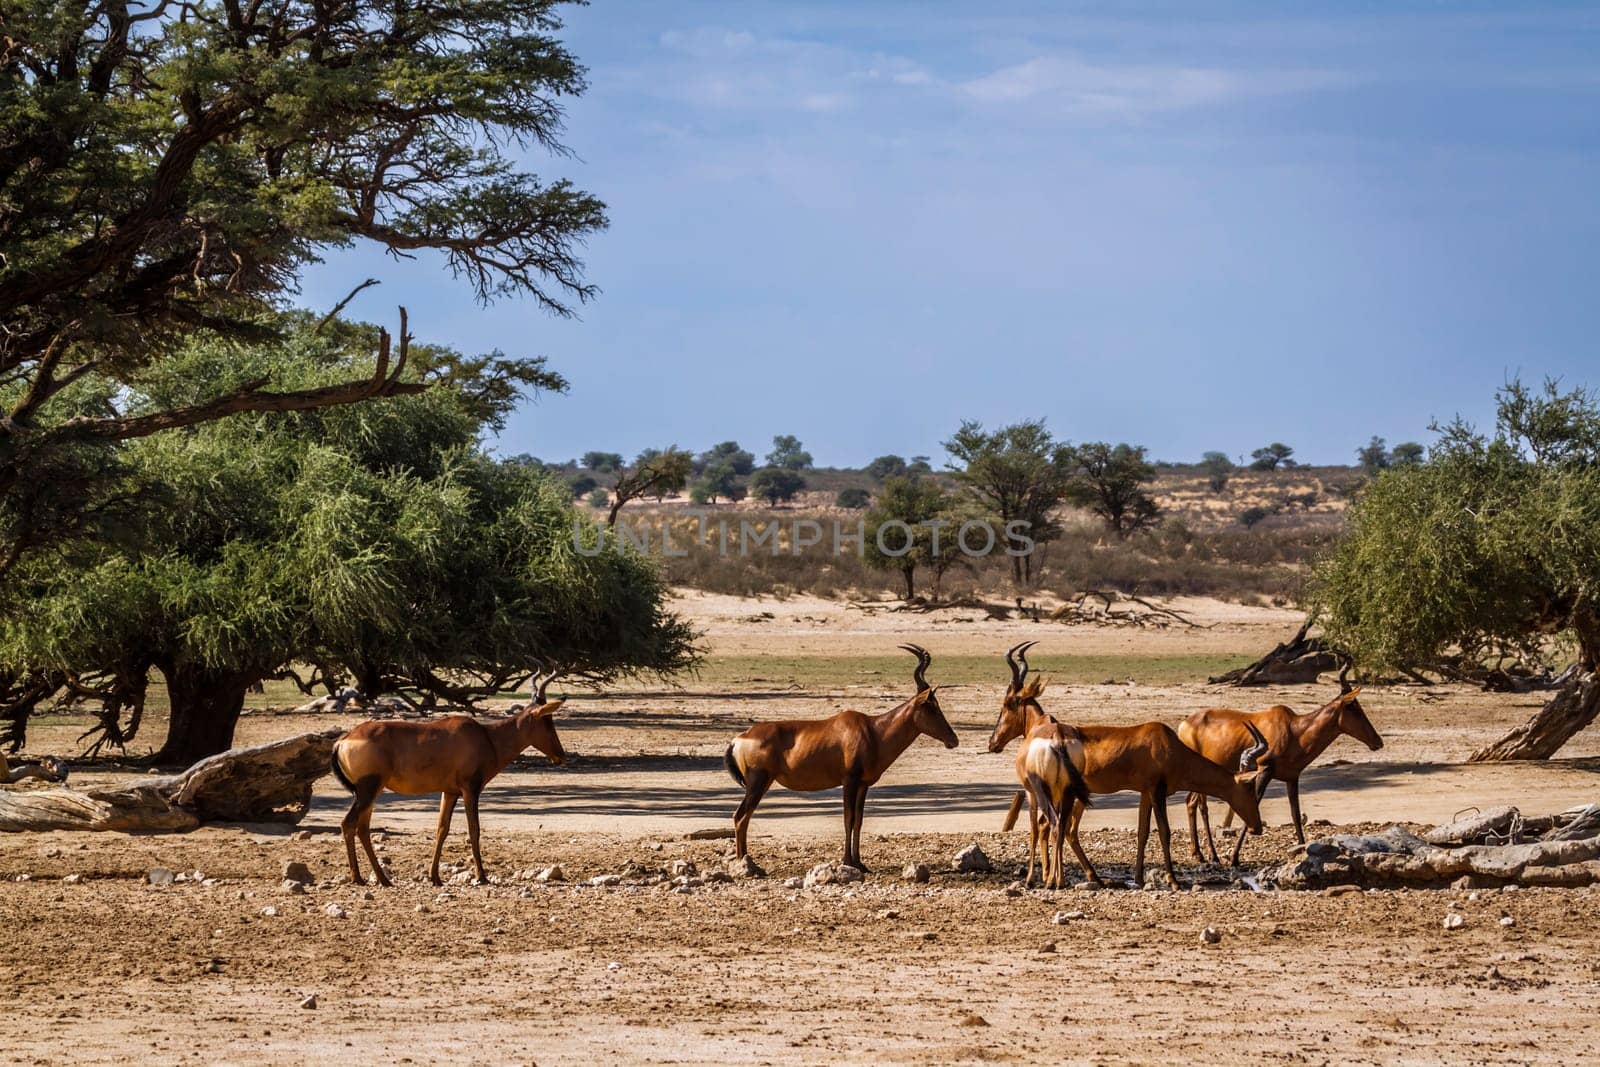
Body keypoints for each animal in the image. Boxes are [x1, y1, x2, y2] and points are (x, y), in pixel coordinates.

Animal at [331, 671, 569, 889]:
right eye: (547, 720)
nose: (561, 755)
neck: (487, 736)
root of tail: (344, 740)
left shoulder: (450, 791)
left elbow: (442, 829)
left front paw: (435, 877)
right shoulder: (470, 789)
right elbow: (474, 829)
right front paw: (481, 876)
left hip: (371, 792)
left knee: (363, 828)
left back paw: (383, 879)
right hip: (367, 789)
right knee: (348, 824)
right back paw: (358, 878)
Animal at [729, 646, 960, 870]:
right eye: (932, 706)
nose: (953, 740)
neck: (873, 731)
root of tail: (740, 738)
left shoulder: (863, 785)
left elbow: (858, 820)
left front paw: (860, 863)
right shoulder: (849, 781)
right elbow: (848, 818)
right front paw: (847, 861)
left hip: (762, 783)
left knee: (744, 816)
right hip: (758, 782)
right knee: (740, 816)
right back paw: (746, 864)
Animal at [985, 646, 1273, 889]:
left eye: (1008, 703)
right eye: (1249, 787)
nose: (993, 742)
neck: (1166, 742)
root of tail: (1054, 738)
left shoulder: (1145, 792)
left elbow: (1143, 832)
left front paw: (1139, 878)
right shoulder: (1157, 792)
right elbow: (1164, 832)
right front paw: (1173, 881)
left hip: (1065, 794)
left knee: (1058, 827)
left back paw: (1074, 878)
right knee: (1055, 827)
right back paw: (1058, 879)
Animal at [1184, 662, 1382, 863]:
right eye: (1354, 707)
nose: (1378, 741)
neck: (1293, 729)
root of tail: (1184, 724)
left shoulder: (1292, 778)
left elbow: (1296, 814)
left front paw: (1302, 849)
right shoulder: (1264, 771)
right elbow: (1254, 803)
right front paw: (1234, 858)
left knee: (1191, 802)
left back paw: (1200, 854)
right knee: (1201, 805)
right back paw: (1211, 855)